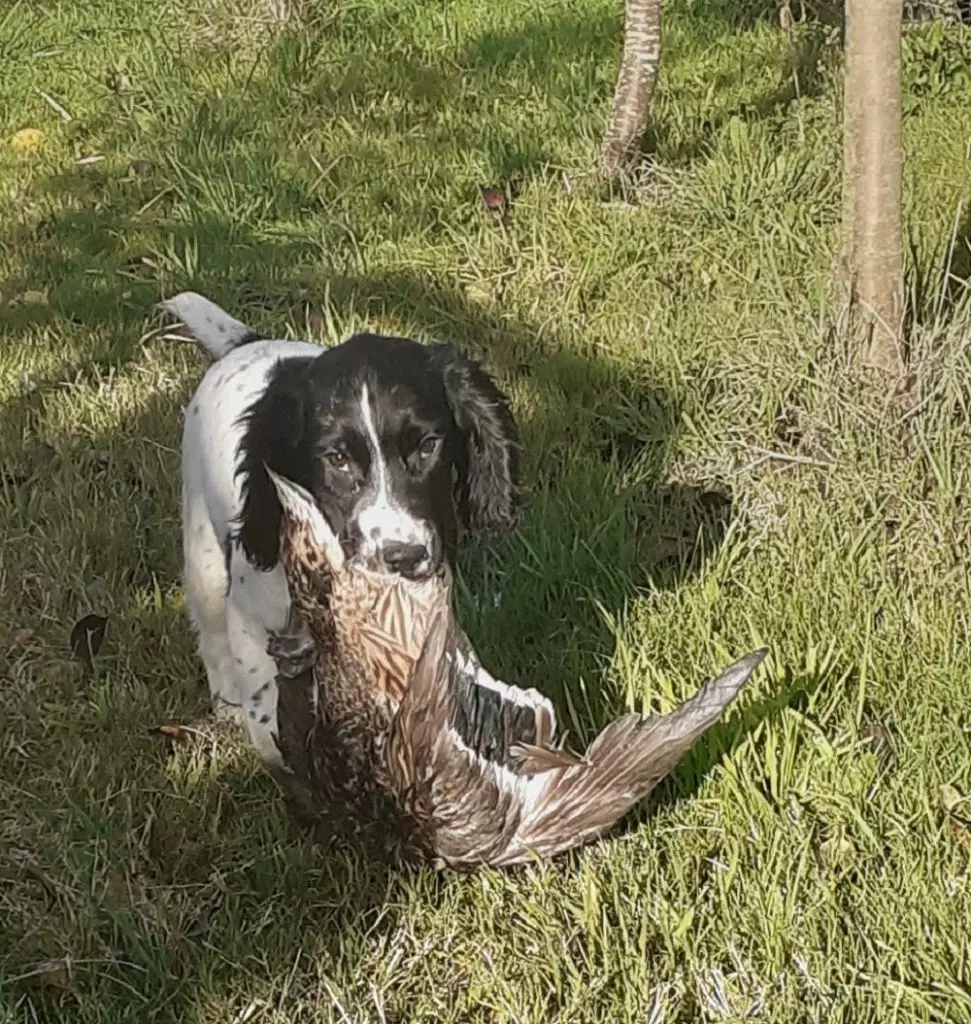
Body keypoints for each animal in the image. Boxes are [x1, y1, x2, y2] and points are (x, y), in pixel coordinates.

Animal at [162, 292, 520, 765]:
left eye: (428, 446)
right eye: (337, 459)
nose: (404, 557)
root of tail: (248, 342)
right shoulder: (252, 612)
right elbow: (268, 705)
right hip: (202, 548)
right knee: (212, 635)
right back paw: (227, 706)